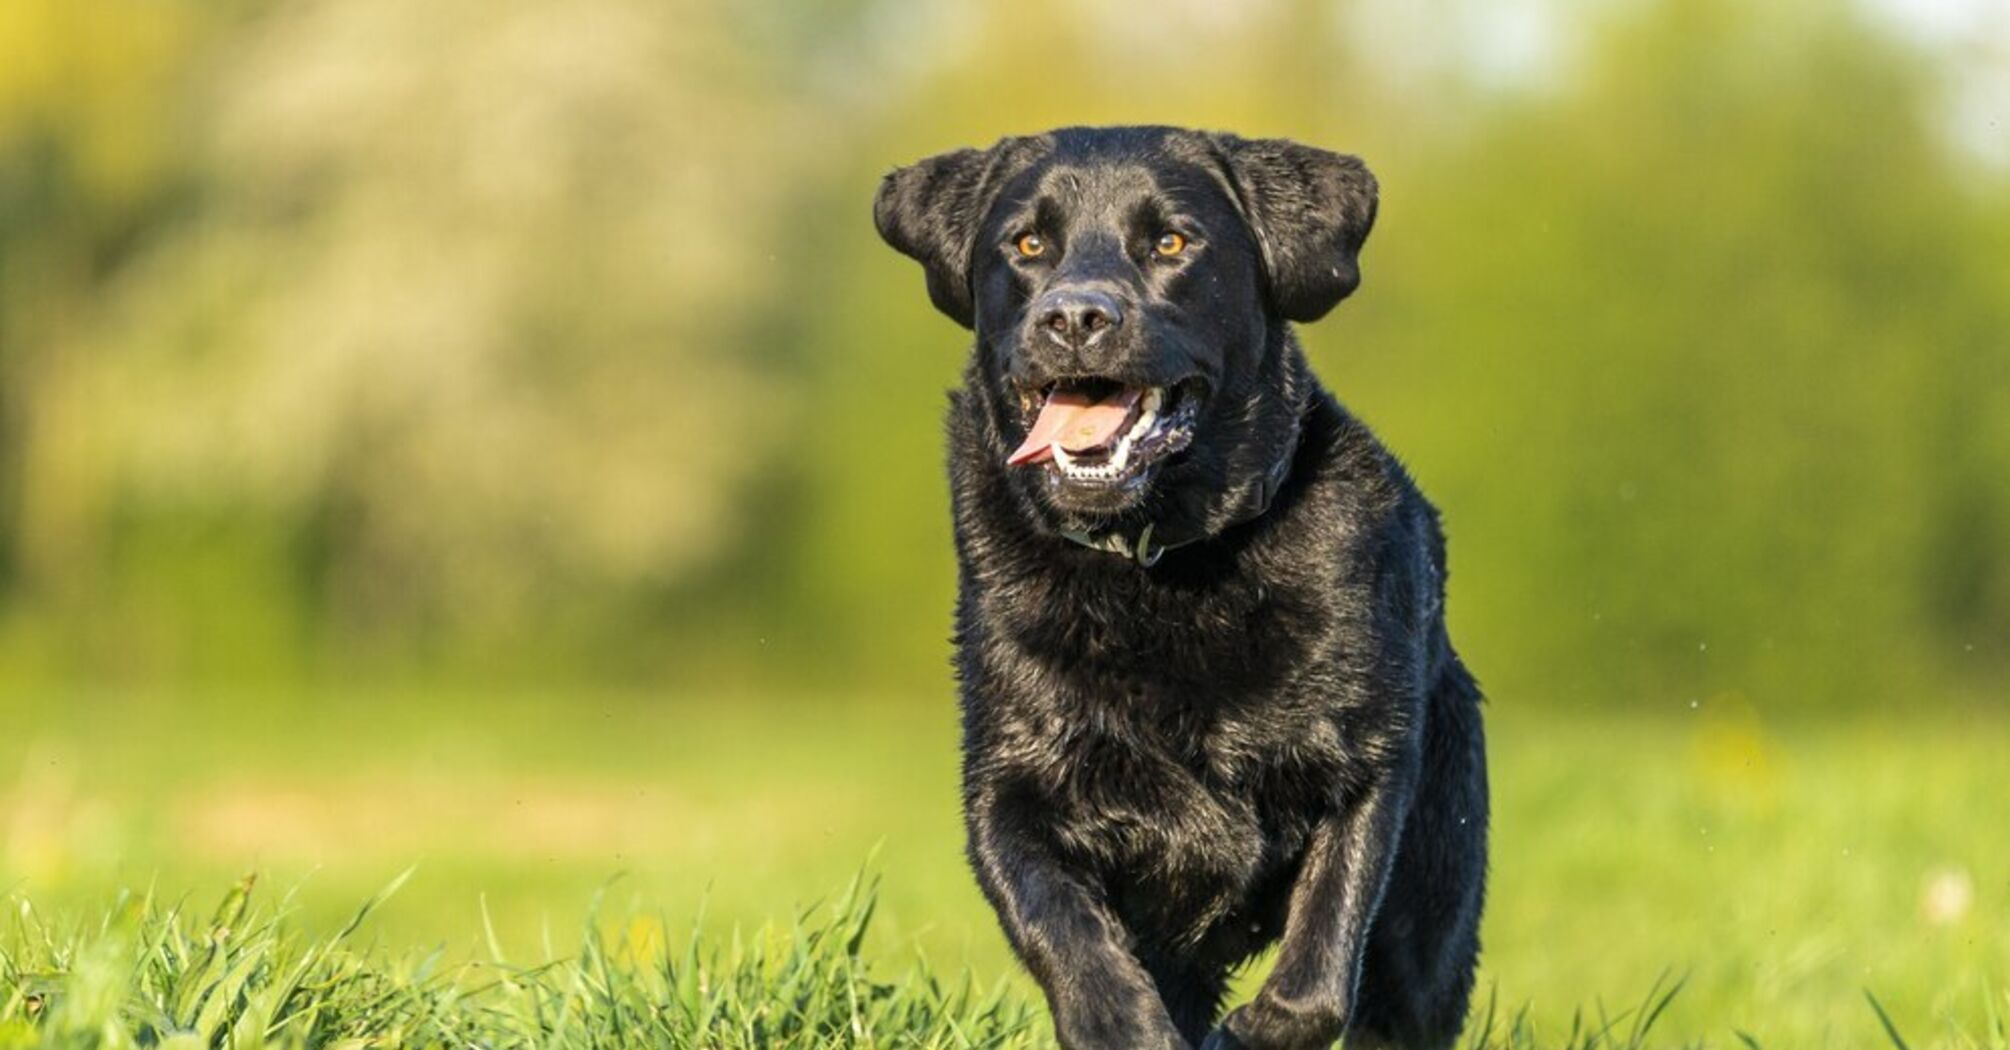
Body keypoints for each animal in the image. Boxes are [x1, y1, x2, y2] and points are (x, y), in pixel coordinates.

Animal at [872, 126, 1487, 1037]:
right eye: (1028, 244)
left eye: (1170, 242)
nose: (1074, 317)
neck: (1158, 563)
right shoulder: (1009, 792)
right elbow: (1070, 940)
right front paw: (1124, 1023)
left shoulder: (1370, 765)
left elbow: (1319, 968)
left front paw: (1259, 1031)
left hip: (1433, 918)